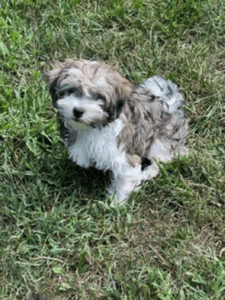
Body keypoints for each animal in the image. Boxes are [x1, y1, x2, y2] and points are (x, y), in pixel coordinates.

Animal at [46, 58, 189, 204]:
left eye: (97, 97)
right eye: (71, 90)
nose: (78, 111)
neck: (94, 126)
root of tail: (171, 105)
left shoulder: (124, 155)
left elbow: (125, 178)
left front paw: (116, 202)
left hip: (162, 142)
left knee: (159, 162)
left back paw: (146, 173)